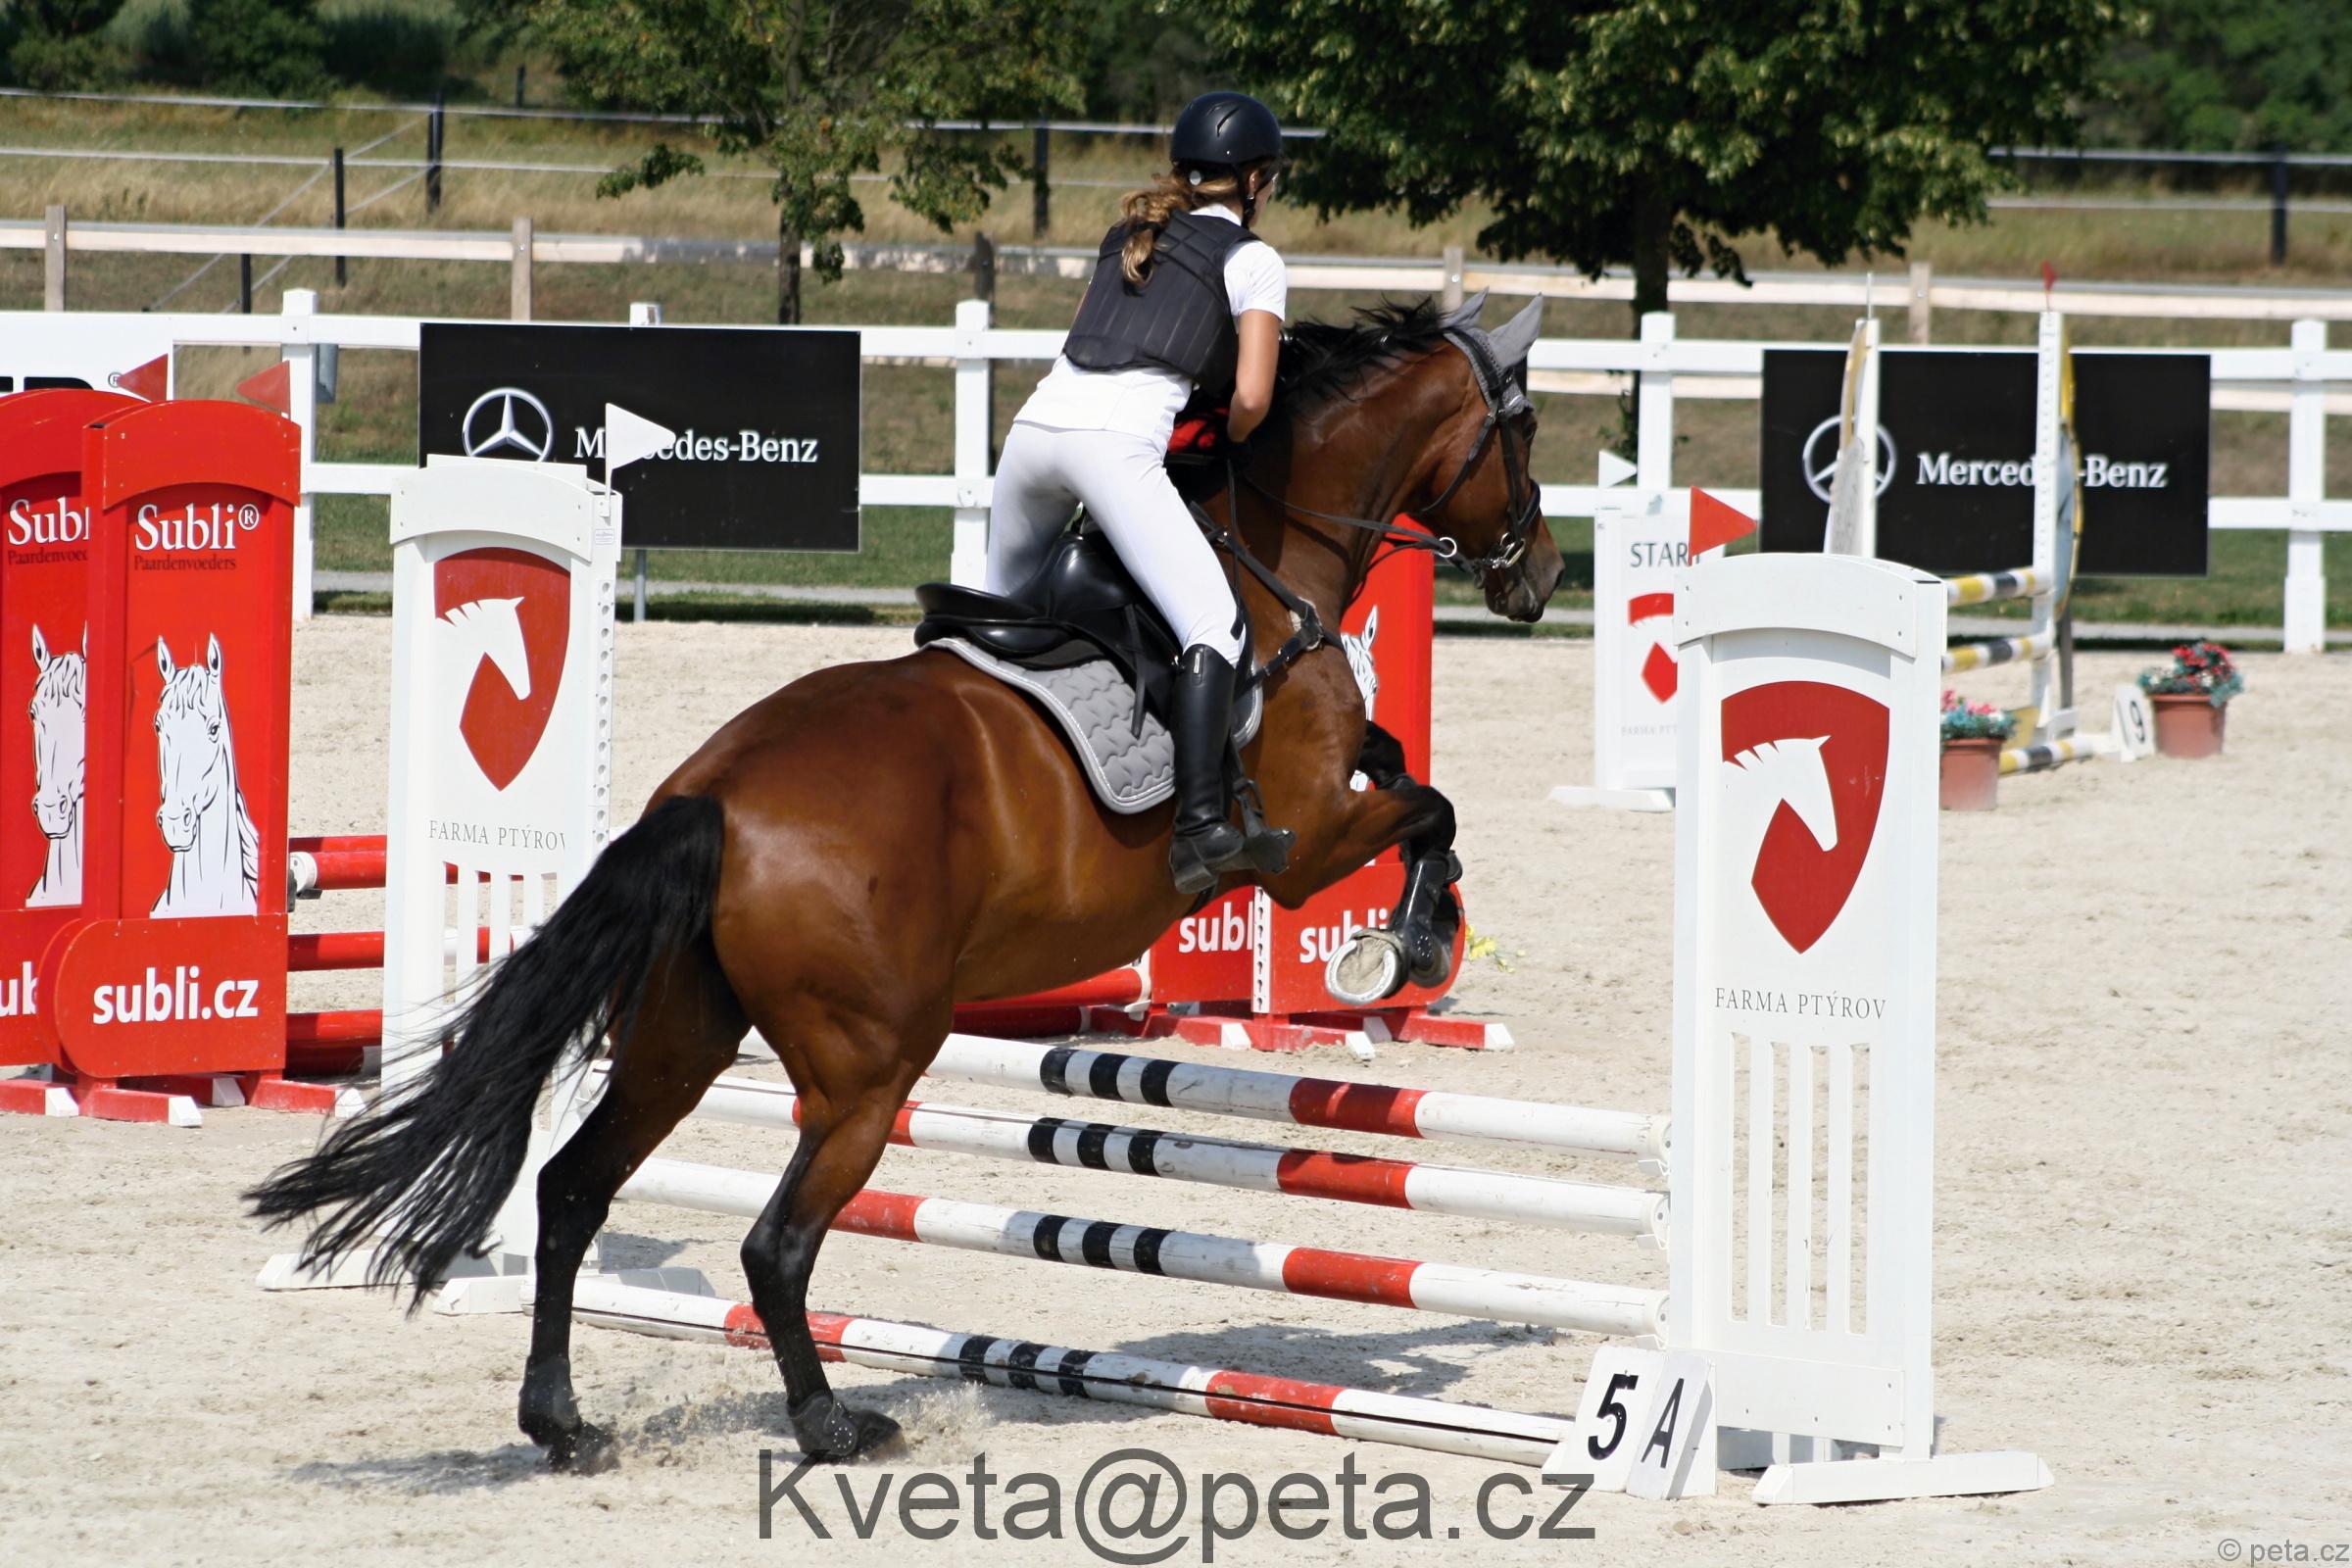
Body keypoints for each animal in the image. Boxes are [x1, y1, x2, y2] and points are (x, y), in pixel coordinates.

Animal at [249, 295, 1565, 1473]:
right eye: (1528, 426)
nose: (1542, 578)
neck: (1269, 557)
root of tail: (711, 801)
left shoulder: (1336, 800)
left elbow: (1409, 772)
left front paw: (1415, 934)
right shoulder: (1310, 834)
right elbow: (1429, 812)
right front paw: (1404, 946)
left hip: (682, 1032)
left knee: (574, 1191)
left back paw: (563, 1424)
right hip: (870, 1069)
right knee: (776, 1244)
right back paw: (831, 1428)